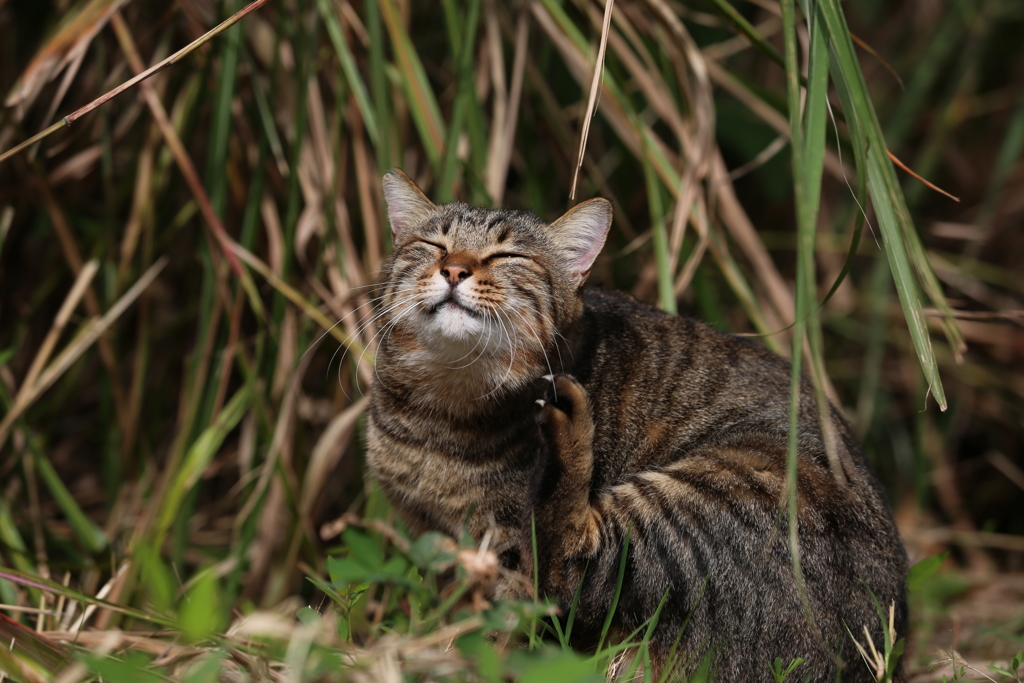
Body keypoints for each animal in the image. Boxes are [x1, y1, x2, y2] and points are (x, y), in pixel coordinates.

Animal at [366, 167, 905, 679]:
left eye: (506, 255)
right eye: (434, 245)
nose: (455, 268)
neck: (439, 413)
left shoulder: (504, 556)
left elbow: (506, 623)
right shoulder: (431, 537)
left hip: (717, 489)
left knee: (569, 562)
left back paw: (568, 425)